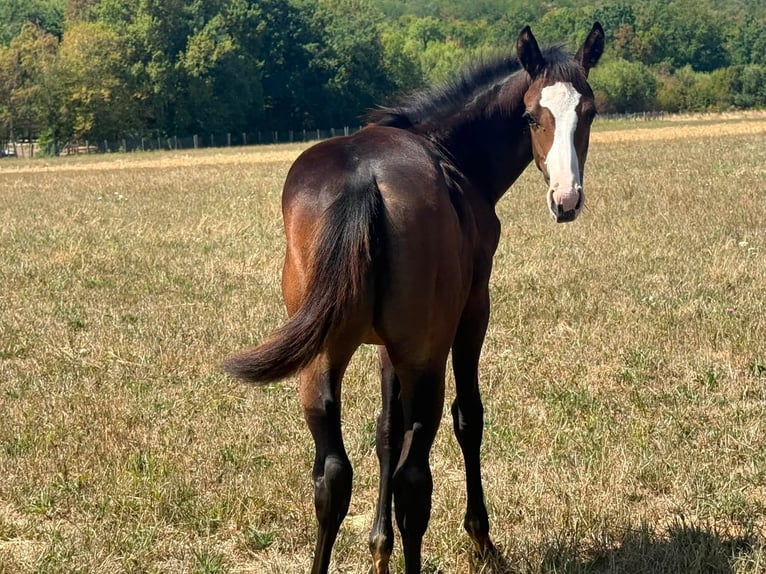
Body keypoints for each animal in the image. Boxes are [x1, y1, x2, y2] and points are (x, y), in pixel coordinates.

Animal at [223, 23, 605, 574]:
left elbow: (386, 430)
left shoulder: (387, 347)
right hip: (426, 355)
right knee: (414, 479)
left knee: (332, 475)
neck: (450, 151)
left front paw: (378, 550)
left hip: (321, 359)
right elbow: (467, 419)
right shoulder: (471, 312)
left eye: (589, 112)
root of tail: (363, 181)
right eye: (533, 115)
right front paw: (481, 540)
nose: (566, 198)